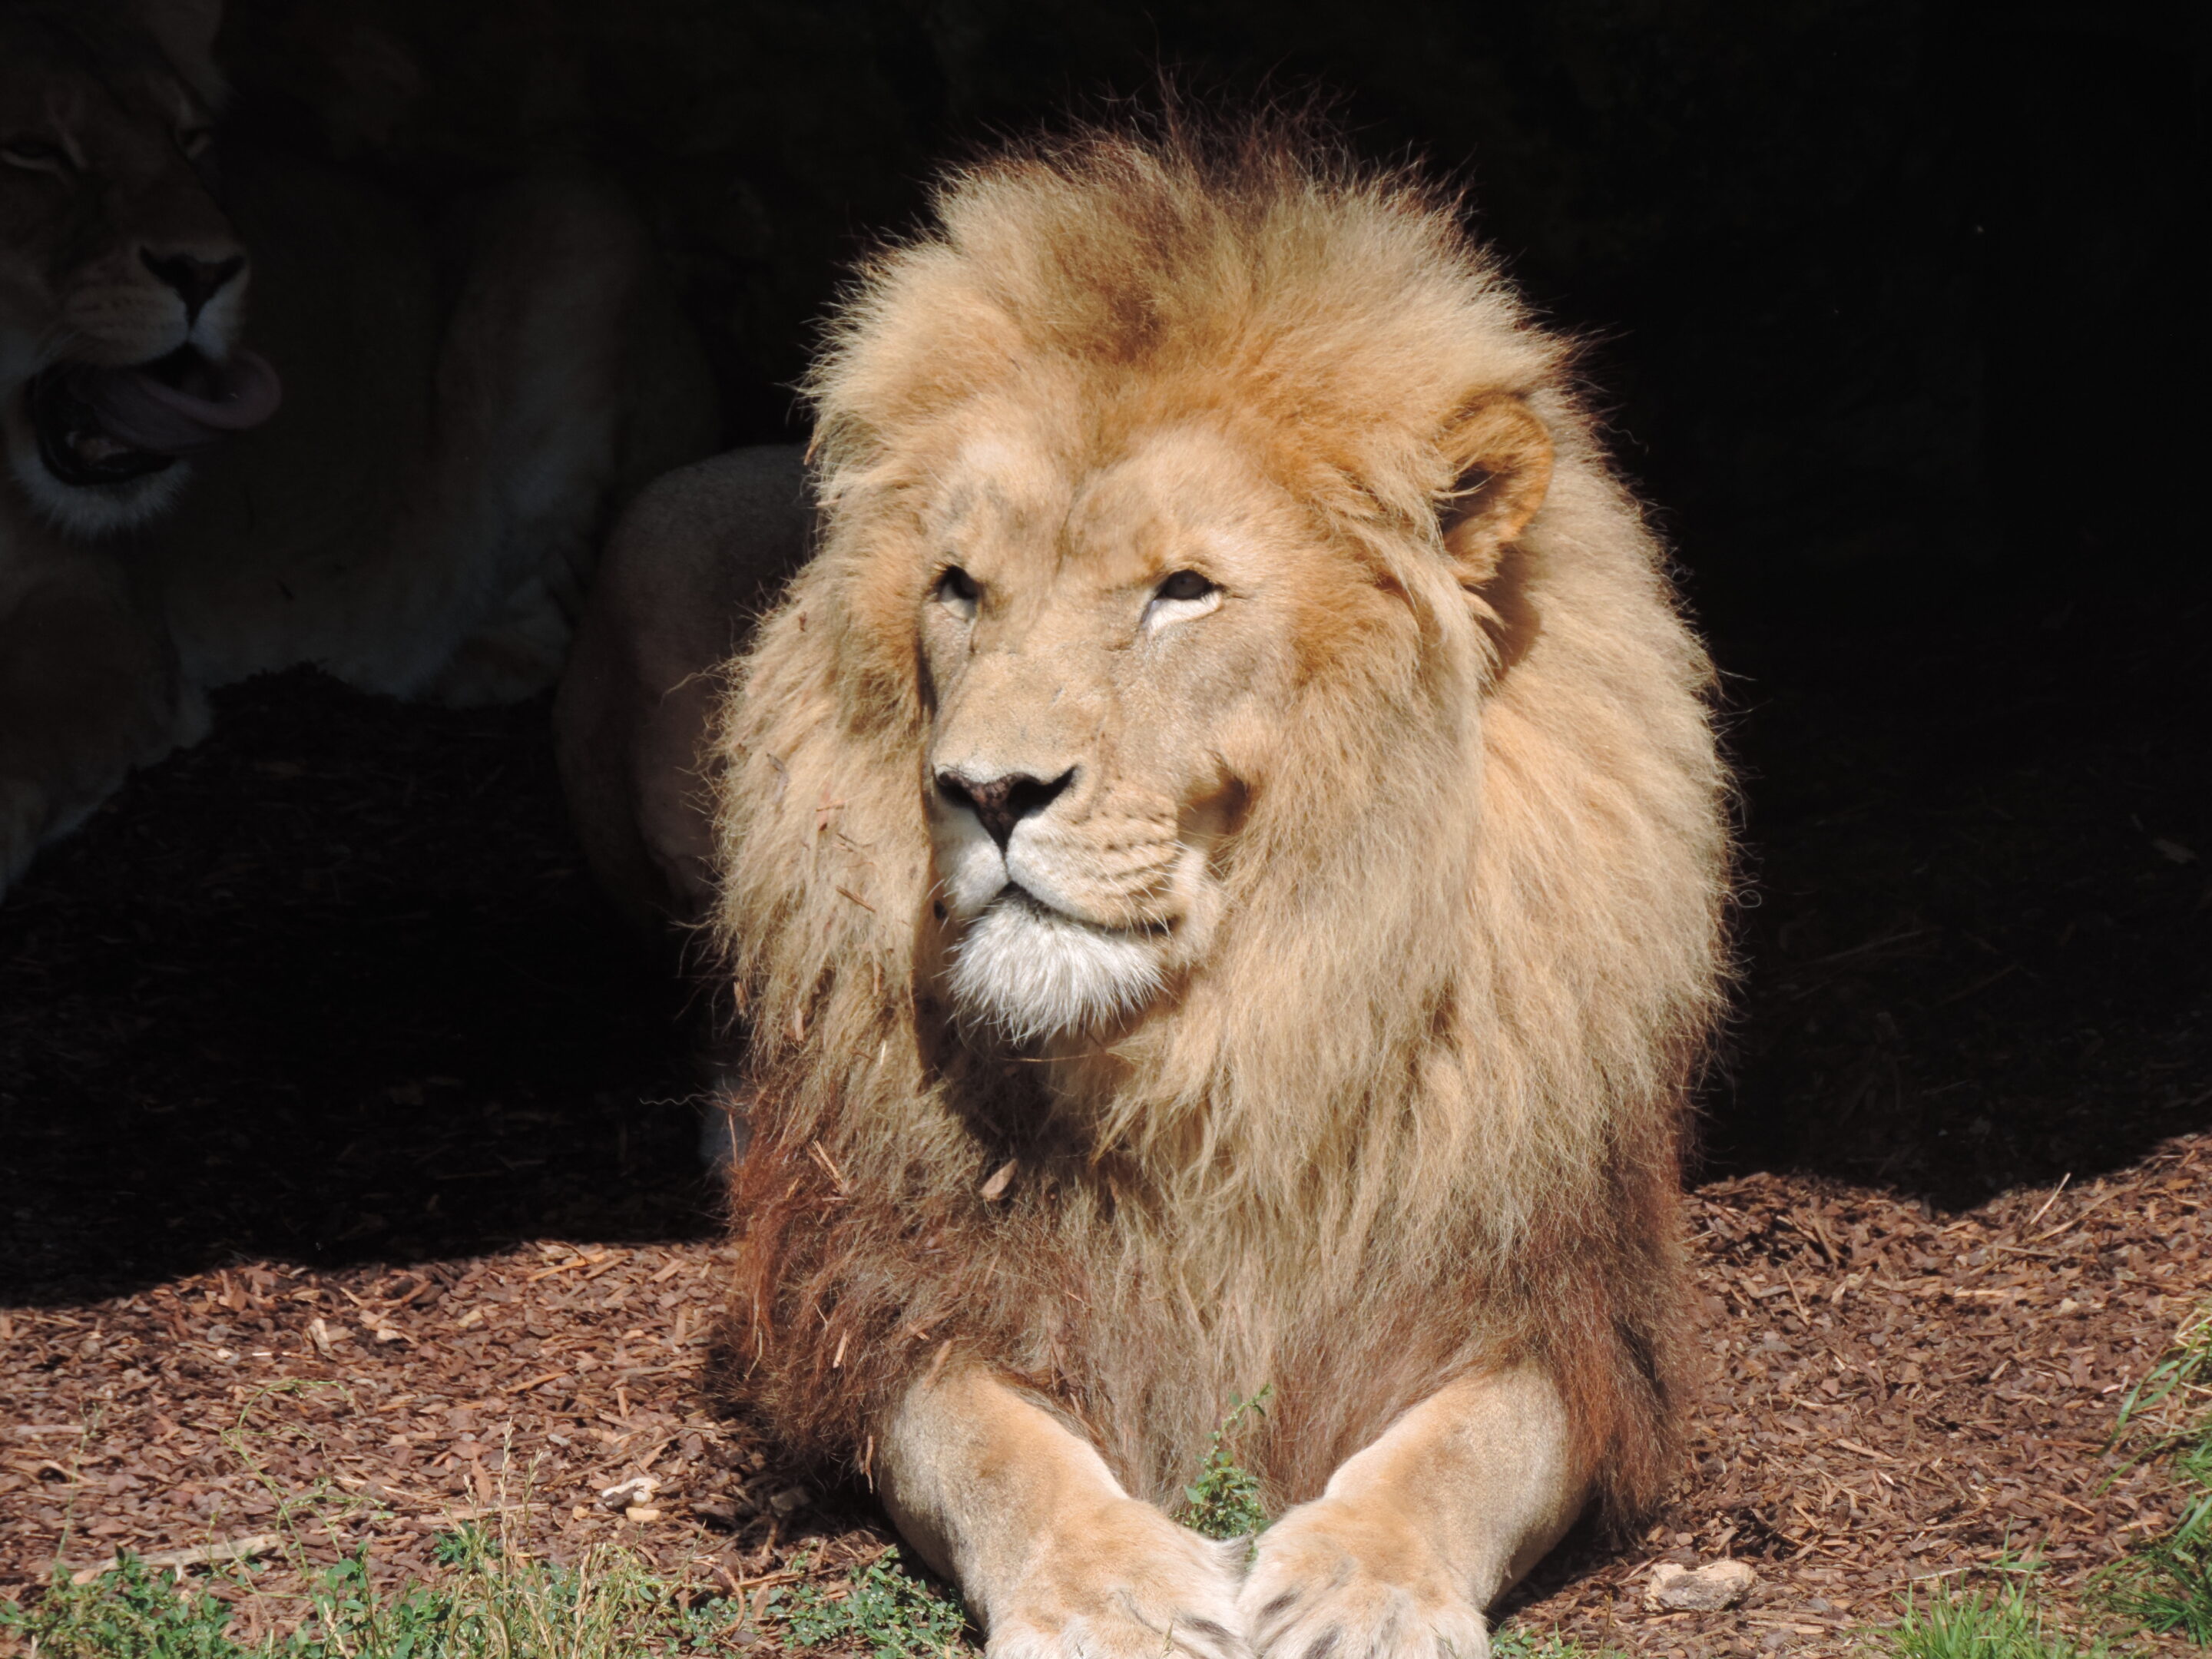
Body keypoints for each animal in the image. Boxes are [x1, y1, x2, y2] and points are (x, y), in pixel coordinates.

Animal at [0, 0, 715, 898]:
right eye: (30, 148)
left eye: (189, 140)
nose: (208, 270)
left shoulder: (107, 618)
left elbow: (23, 729)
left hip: (575, 220)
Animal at [686, 122, 1729, 1658]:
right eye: (959, 586)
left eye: (1182, 589)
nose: (985, 790)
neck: (1228, 1047)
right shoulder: (891, 1300)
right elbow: (990, 1444)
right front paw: (1110, 1587)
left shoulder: (1562, 1307)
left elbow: (1473, 1445)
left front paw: (1365, 1584)